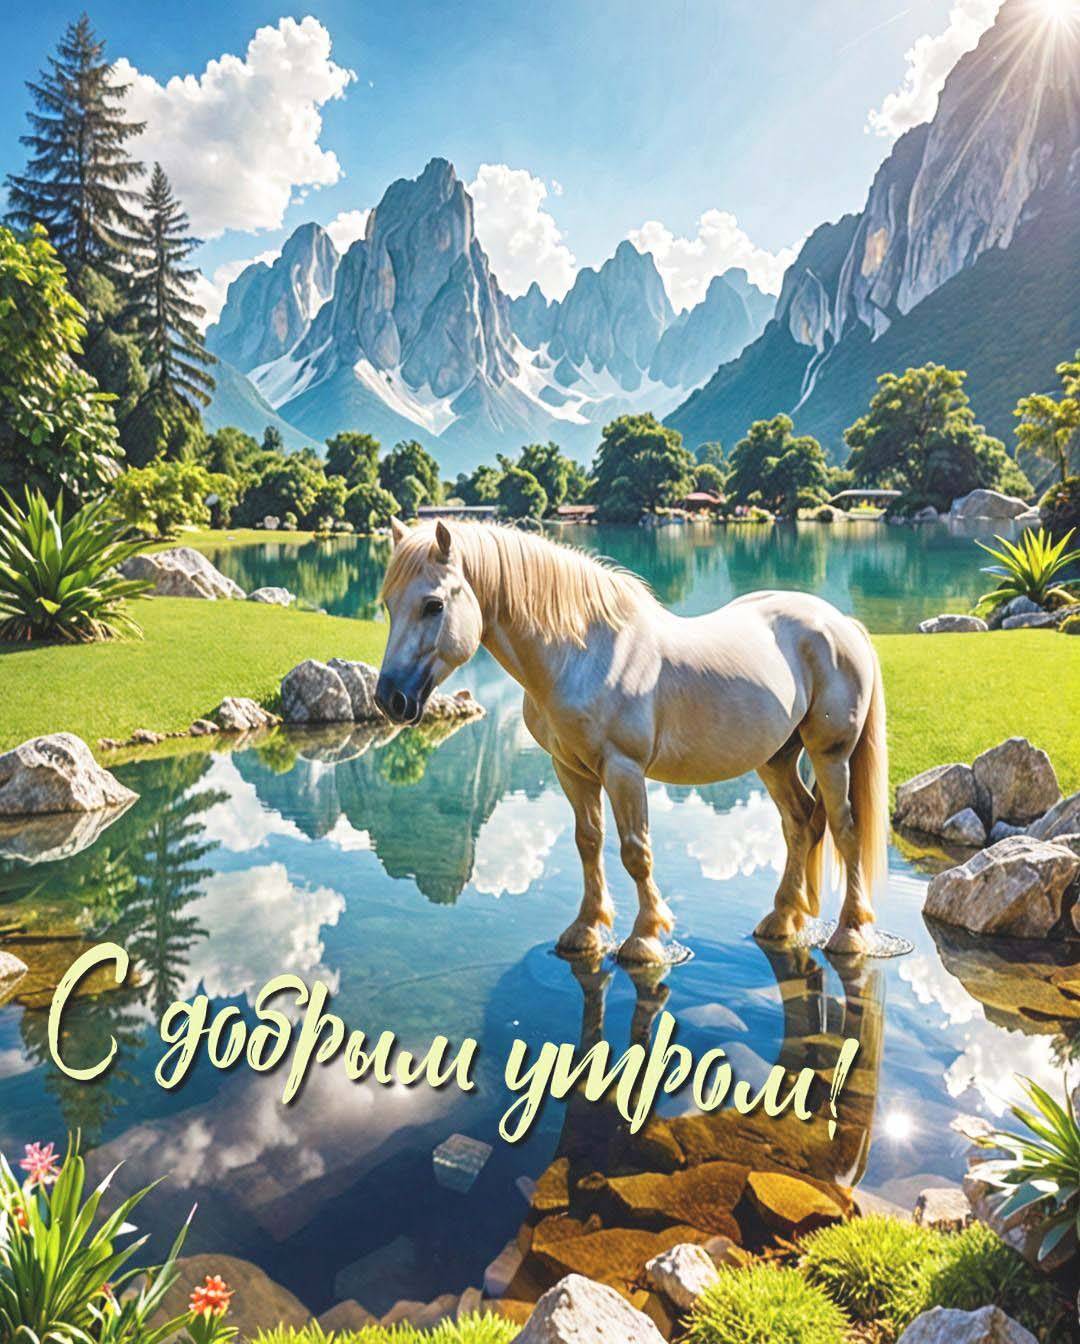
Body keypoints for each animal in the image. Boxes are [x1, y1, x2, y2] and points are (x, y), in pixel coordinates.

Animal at [375, 518, 888, 964]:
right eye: (388, 605)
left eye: (434, 605)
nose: (389, 698)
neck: (581, 655)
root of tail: (841, 625)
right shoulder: (571, 769)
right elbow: (588, 842)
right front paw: (585, 930)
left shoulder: (623, 770)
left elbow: (635, 851)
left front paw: (644, 939)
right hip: (777, 758)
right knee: (800, 822)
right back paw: (782, 918)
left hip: (830, 755)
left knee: (845, 828)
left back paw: (849, 933)